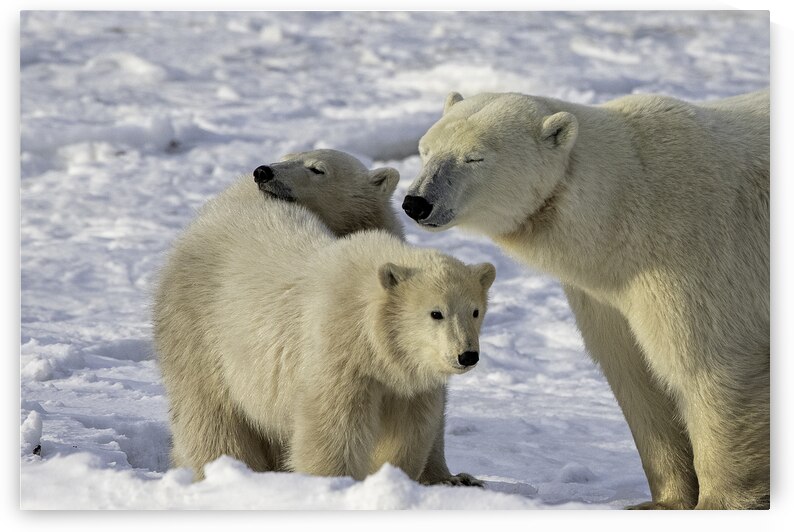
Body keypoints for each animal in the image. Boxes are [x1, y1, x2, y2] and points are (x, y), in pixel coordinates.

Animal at [154, 149, 494, 486]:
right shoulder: (337, 354)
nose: (263, 172)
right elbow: (333, 430)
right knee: (211, 414)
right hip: (200, 325)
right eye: (436, 313)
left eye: (317, 169)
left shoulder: (406, 379)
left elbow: (411, 429)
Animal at [402, 90, 769, 509]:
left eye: (474, 157)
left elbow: (710, 362)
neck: (626, 203)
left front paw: (717, 502)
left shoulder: (695, 253)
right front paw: (660, 501)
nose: (416, 202)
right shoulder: (607, 293)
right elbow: (633, 374)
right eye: (426, 150)